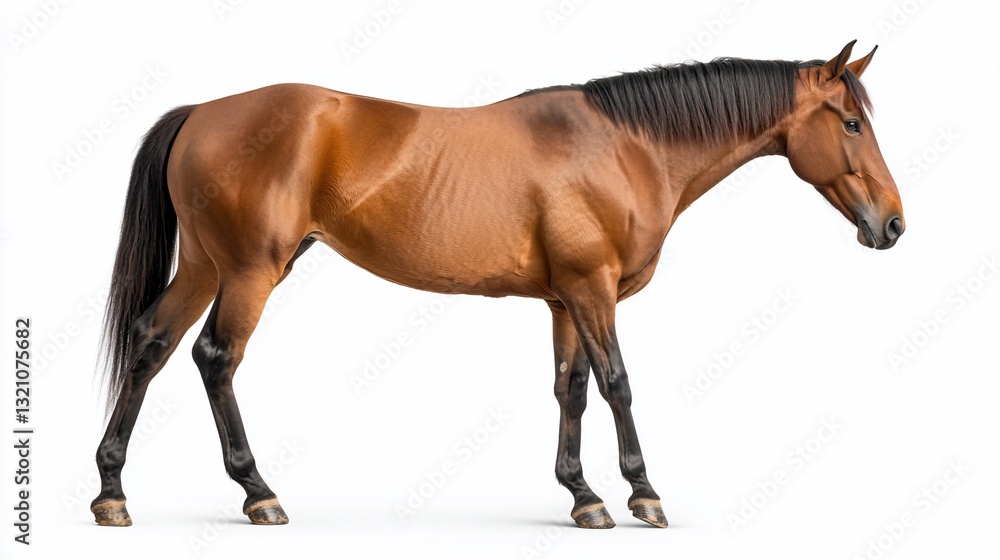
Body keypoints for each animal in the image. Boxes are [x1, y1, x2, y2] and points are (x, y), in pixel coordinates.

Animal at [91, 40, 903, 529]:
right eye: (851, 123)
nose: (893, 224)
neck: (625, 146)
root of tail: (202, 112)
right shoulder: (593, 290)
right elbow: (618, 384)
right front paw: (642, 493)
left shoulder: (566, 298)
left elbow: (571, 390)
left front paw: (582, 496)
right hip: (250, 272)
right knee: (215, 359)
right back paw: (257, 492)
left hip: (205, 266)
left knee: (151, 345)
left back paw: (112, 492)